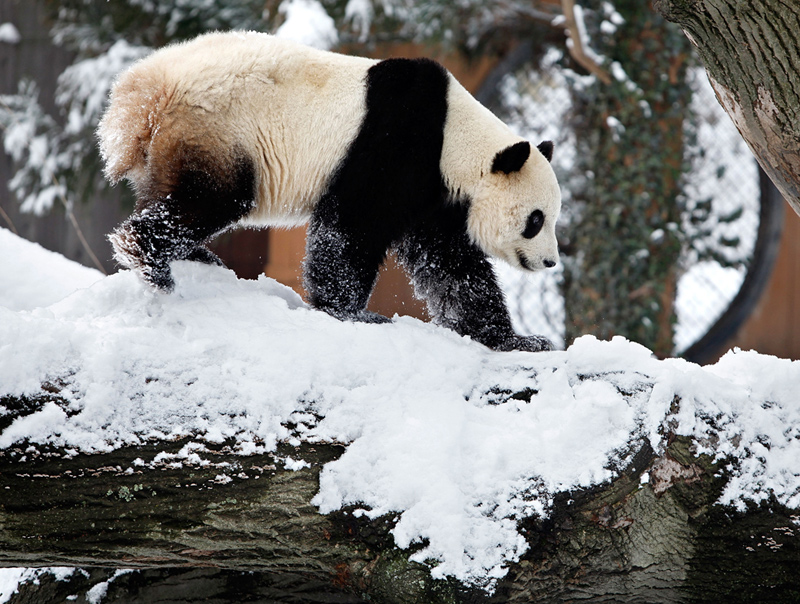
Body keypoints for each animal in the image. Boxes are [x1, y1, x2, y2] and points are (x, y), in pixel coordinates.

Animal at [98, 31, 564, 354]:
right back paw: (150, 262)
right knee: (211, 199)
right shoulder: (394, 142)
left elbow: (452, 267)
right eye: (535, 220)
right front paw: (351, 313)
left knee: (171, 196)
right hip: (218, 129)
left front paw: (516, 341)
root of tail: (144, 91)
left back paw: (193, 256)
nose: (550, 261)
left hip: (175, 145)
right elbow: (350, 228)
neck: (457, 139)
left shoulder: (432, 194)